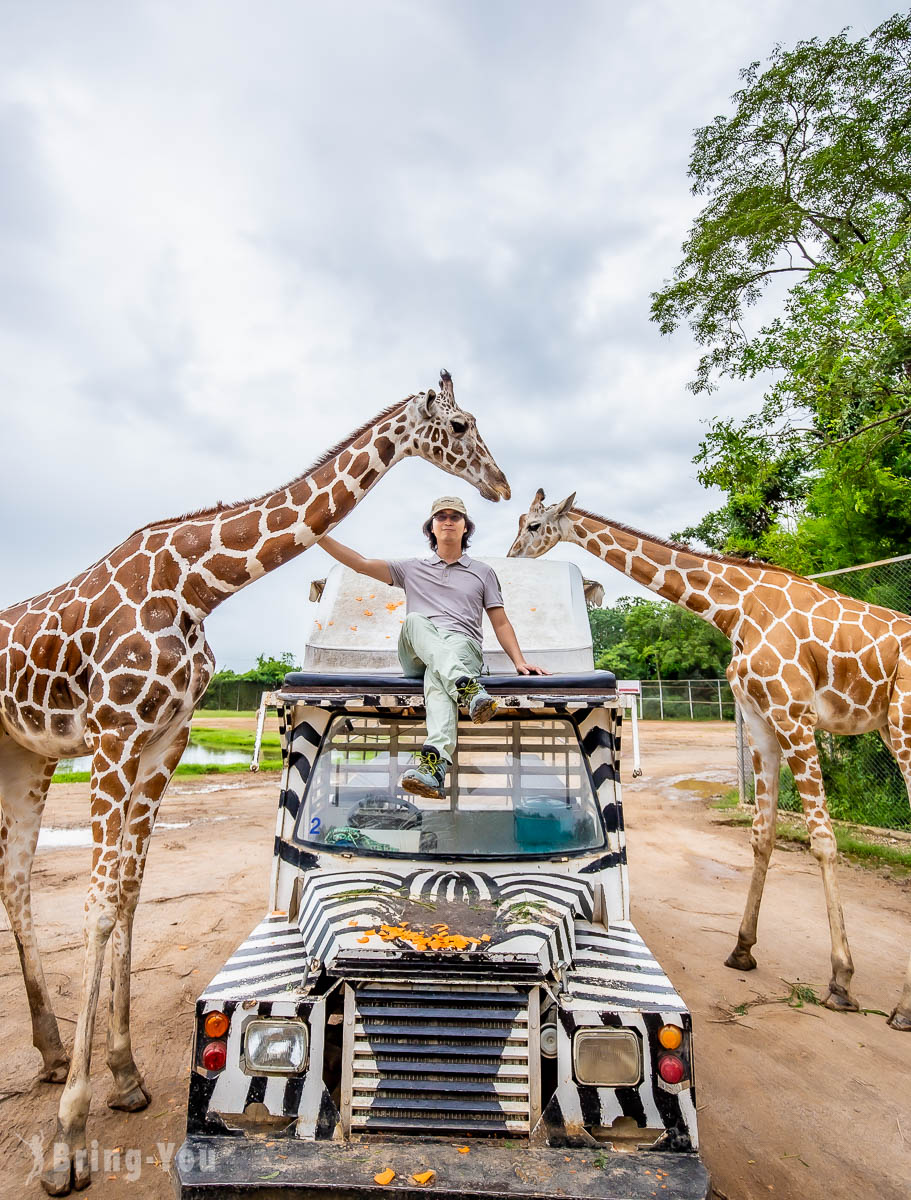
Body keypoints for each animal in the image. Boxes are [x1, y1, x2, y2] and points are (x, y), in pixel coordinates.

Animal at [0, 369, 508, 1195]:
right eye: (461, 425)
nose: (498, 484)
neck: (194, 585)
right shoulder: (112, 732)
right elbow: (101, 906)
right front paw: (69, 1138)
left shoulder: (163, 741)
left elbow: (129, 895)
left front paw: (125, 1077)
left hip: (26, 751)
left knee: (14, 879)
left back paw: (46, 1053)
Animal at [508, 487, 911, 1032]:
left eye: (534, 526)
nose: (511, 556)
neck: (735, 606)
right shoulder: (762, 721)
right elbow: (762, 835)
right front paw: (742, 950)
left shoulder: (795, 715)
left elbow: (823, 841)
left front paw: (841, 980)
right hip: (890, 728)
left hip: (905, 724)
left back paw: (902, 1008)